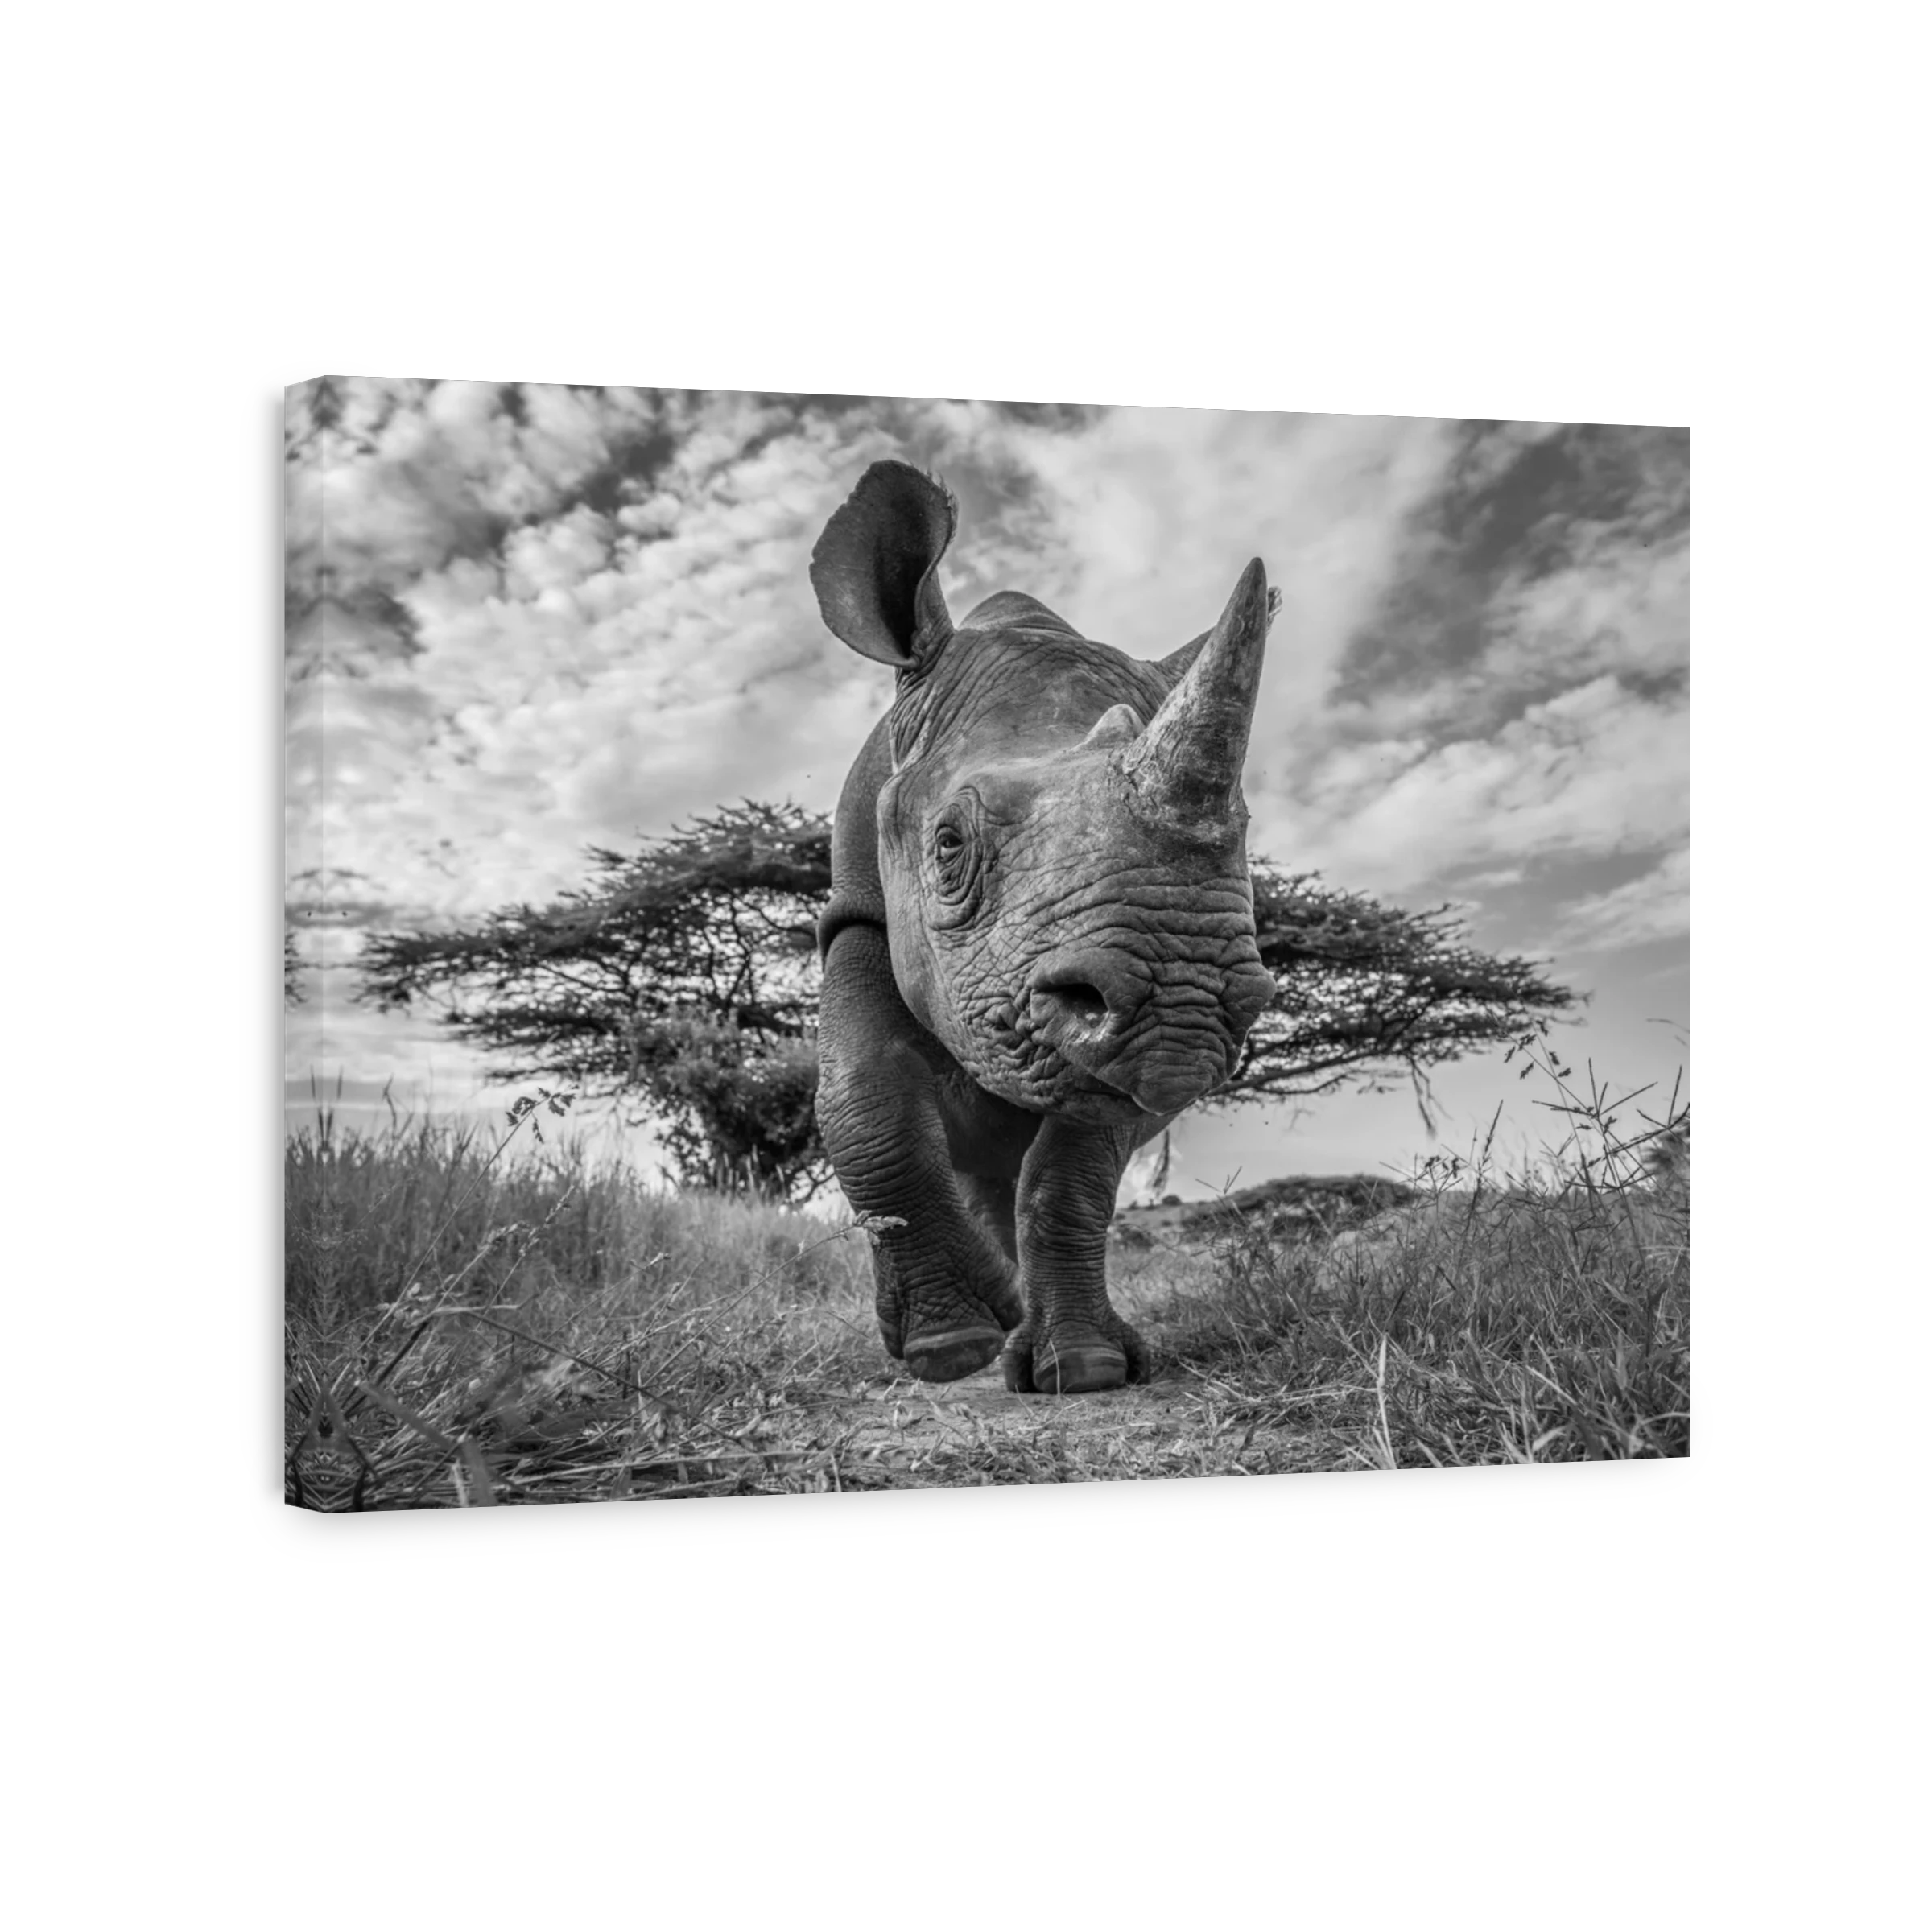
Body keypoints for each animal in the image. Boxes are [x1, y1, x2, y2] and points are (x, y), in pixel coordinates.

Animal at [811, 460, 1278, 1394]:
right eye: (948, 844)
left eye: (1247, 838)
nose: (1184, 1004)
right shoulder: (860, 915)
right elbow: (866, 1099)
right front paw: (949, 1347)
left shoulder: (1104, 1033)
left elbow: (1073, 1177)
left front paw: (1088, 1368)